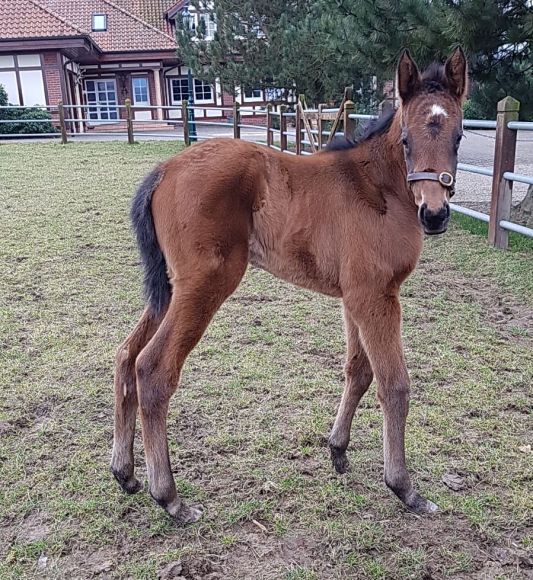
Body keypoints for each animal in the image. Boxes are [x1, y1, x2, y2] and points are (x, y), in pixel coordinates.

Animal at [111, 47, 466, 524]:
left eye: (459, 136)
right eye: (407, 140)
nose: (435, 214)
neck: (378, 187)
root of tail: (165, 168)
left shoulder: (354, 297)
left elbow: (358, 371)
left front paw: (338, 450)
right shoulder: (376, 294)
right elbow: (394, 385)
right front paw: (404, 488)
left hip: (169, 289)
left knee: (125, 356)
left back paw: (125, 472)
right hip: (204, 284)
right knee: (151, 368)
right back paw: (169, 497)